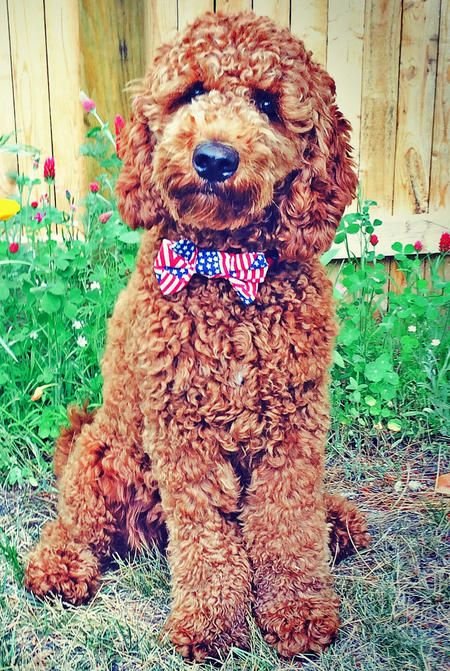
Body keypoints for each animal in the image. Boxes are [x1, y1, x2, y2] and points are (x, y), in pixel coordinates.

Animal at [25, 10, 370, 660]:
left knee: (311, 511)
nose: (213, 158)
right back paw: (58, 567)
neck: (224, 266)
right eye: (190, 93)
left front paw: (299, 611)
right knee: (76, 522)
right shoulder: (183, 432)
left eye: (267, 103)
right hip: (107, 458)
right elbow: (207, 534)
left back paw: (337, 520)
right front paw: (212, 623)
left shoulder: (294, 424)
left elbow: (288, 523)